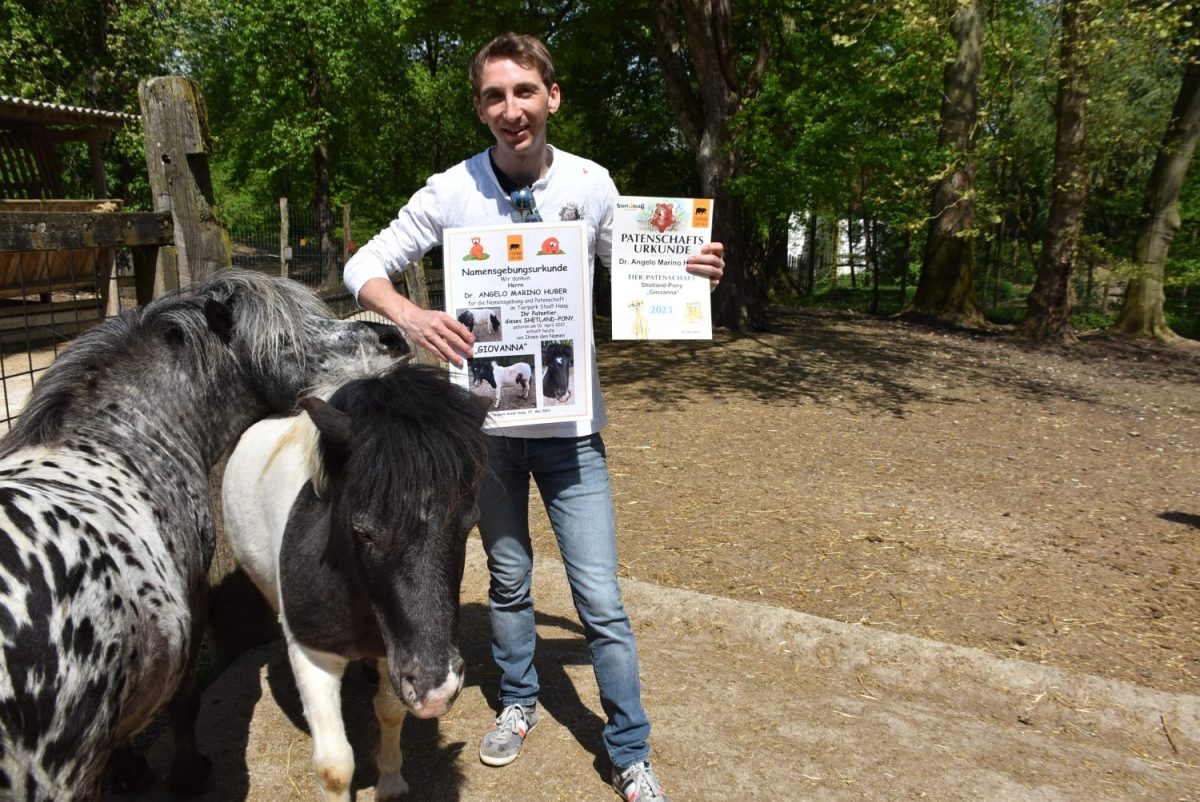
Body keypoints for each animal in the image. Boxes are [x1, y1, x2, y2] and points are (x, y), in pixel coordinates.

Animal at [0, 271, 408, 802]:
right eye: (288, 338)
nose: (393, 339)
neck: (124, 434)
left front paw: (133, 770)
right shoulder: (192, 610)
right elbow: (184, 703)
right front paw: (189, 772)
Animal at [223, 362, 489, 802]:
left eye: (468, 525)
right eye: (362, 531)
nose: (438, 690)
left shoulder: (393, 651)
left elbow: (391, 711)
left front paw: (392, 781)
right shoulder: (313, 655)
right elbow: (335, 767)